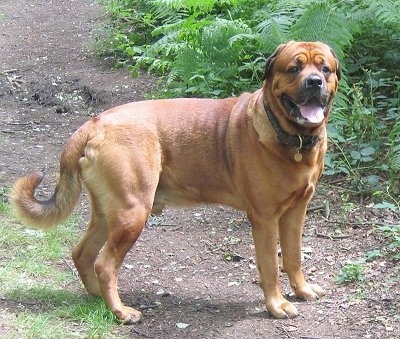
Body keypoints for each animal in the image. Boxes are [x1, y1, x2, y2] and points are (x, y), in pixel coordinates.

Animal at [10, 40, 340, 324]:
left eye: (325, 69)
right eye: (294, 68)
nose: (314, 82)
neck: (293, 139)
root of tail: (94, 124)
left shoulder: (296, 212)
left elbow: (294, 256)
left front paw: (301, 290)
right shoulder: (265, 218)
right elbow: (271, 264)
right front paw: (276, 304)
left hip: (108, 213)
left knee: (83, 254)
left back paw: (99, 299)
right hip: (132, 213)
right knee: (104, 264)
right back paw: (121, 312)